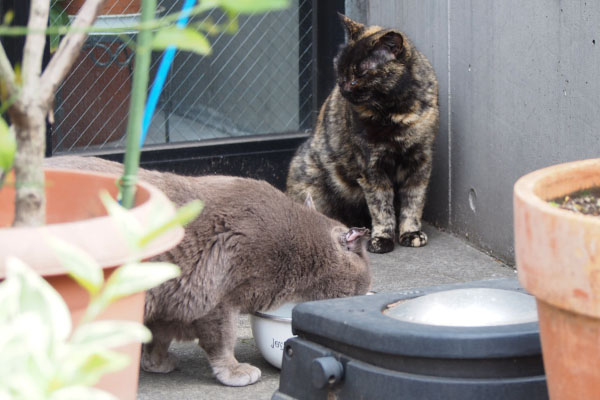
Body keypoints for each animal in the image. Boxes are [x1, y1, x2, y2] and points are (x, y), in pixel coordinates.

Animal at [44, 156, 370, 388]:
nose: (366, 293)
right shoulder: (216, 298)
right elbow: (222, 340)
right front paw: (235, 371)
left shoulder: (172, 300)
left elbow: (159, 336)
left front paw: (156, 363)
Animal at [286, 15, 436, 255]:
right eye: (340, 70)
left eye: (360, 74)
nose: (343, 86)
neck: (396, 112)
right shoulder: (371, 168)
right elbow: (381, 207)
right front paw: (382, 239)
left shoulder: (420, 163)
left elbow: (413, 201)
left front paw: (411, 233)